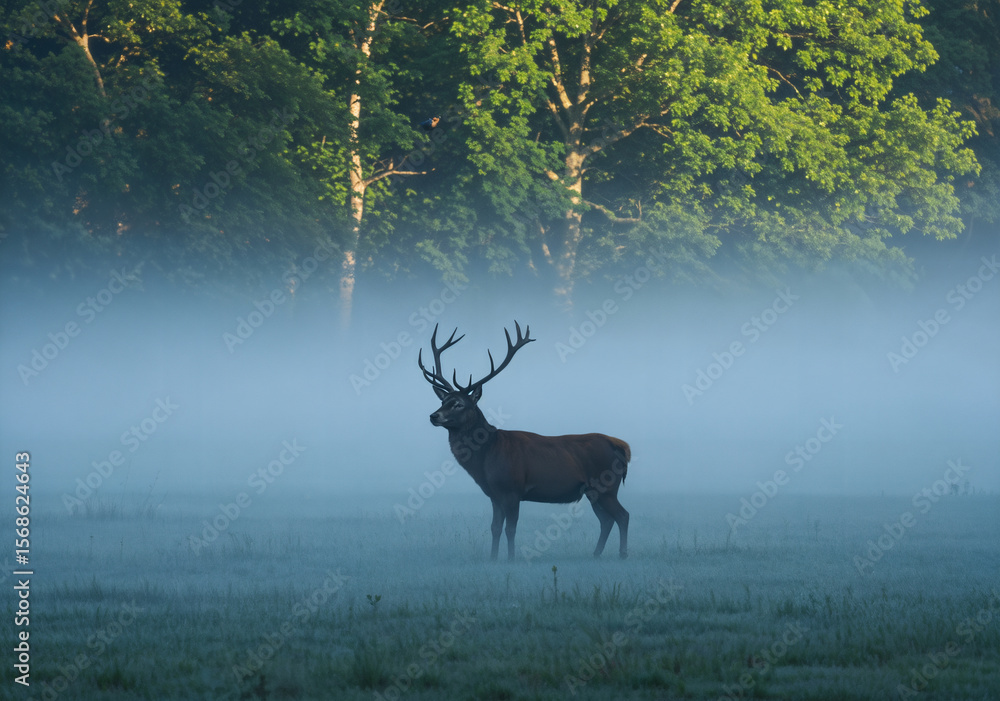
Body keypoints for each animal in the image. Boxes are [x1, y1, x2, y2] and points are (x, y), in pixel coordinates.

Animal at [419, 321, 631, 561]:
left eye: (459, 404)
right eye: (443, 400)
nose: (434, 416)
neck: (486, 459)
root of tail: (621, 446)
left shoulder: (512, 489)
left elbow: (510, 528)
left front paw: (511, 559)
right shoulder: (494, 494)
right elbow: (494, 527)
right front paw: (493, 559)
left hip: (606, 485)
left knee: (622, 515)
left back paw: (622, 554)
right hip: (593, 491)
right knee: (607, 520)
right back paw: (595, 555)